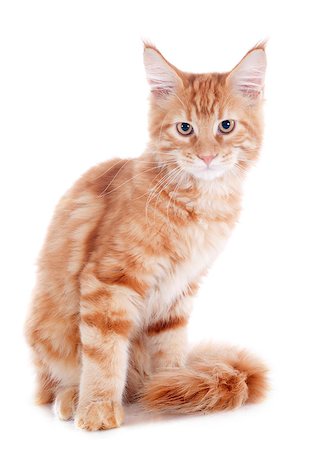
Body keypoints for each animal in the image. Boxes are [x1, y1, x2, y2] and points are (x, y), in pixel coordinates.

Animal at [25, 43, 268, 432]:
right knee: (52, 384)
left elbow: (169, 347)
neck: (198, 205)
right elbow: (103, 353)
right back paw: (71, 398)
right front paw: (97, 408)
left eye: (226, 126)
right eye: (185, 128)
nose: (207, 156)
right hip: (48, 331)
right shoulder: (109, 281)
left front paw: (173, 384)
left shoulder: (179, 292)